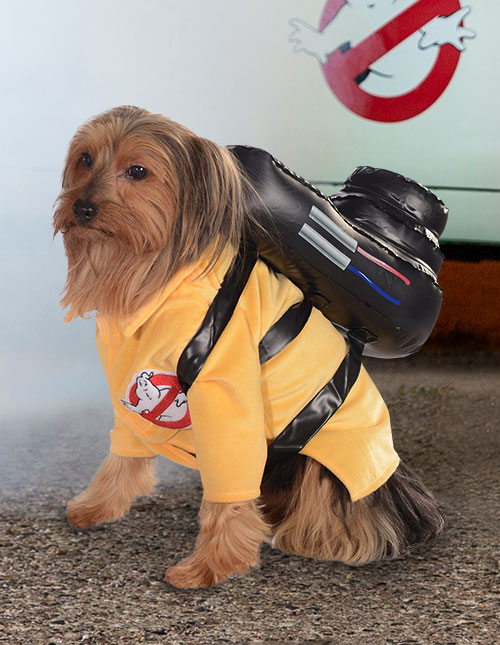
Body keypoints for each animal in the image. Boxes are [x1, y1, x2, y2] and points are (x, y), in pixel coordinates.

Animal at [53, 107, 446, 588]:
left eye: (138, 171)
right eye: (85, 159)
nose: (81, 207)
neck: (150, 270)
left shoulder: (225, 390)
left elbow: (227, 489)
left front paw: (211, 564)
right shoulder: (129, 373)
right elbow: (123, 450)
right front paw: (98, 505)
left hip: (329, 461)